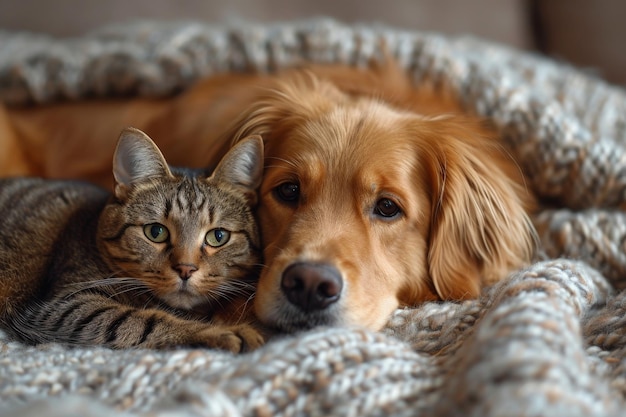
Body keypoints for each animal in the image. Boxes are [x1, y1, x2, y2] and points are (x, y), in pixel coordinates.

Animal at [0, 127, 264, 352]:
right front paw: (221, 332)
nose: (186, 269)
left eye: (218, 236)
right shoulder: (62, 306)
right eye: (155, 232)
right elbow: (139, 320)